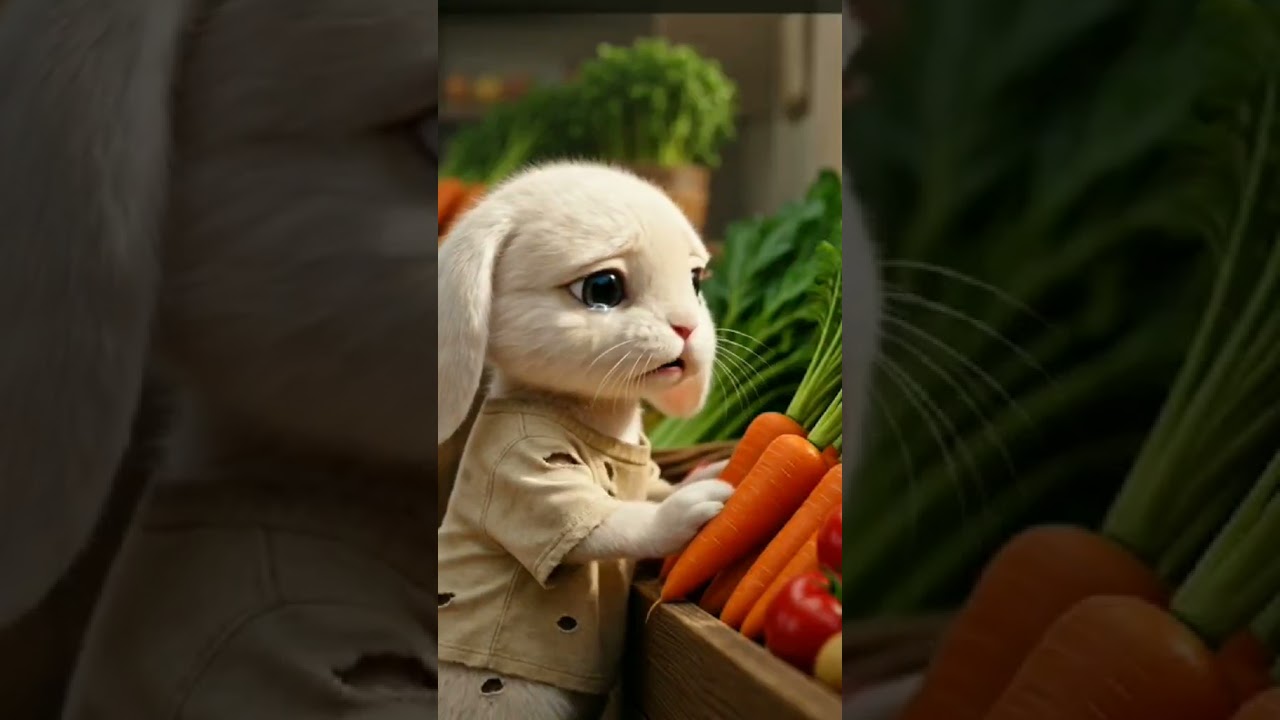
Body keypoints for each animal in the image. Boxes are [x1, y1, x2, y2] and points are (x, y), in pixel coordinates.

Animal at [436, 161, 734, 720]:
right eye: (603, 288)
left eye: (695, 281)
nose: (687, 328)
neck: (599, 419)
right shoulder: (526, 471)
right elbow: (614, 525)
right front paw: (695, 508)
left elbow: (655, 489)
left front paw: (711, 473)